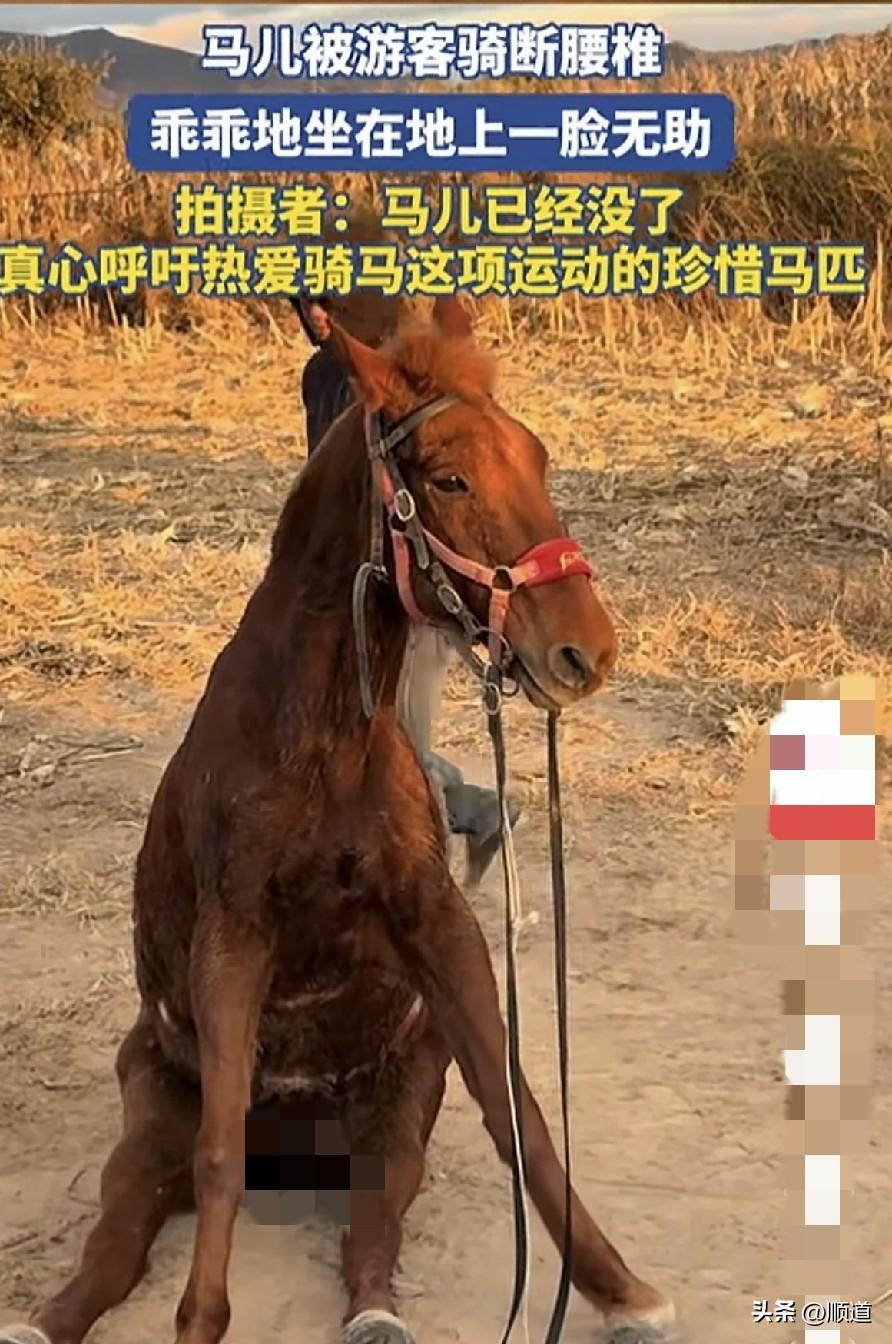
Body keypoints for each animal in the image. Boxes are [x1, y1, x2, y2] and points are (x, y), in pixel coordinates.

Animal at [1, 297, 676, 1344]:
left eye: (538, 457)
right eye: (448, 477)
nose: (585, 651)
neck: (324, 741)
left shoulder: (436, 922)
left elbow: (519, 1114)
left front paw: (621, 1289)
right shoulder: (232, 937)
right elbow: (218, 1158)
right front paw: (199, 1321)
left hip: (398, 1099)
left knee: (373, 1219)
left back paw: (376, 1316)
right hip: (147, 1108)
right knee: (119, 1238)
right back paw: (47, 1317)